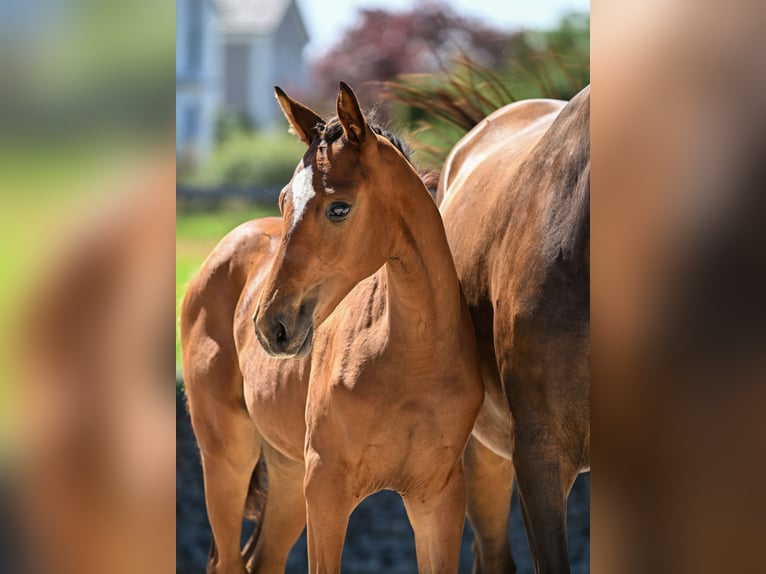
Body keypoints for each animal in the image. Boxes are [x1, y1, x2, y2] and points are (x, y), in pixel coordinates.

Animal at [180, 81, 484, 574]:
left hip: (286, 473)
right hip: (227, 456)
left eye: (339, 208)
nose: (270, 325)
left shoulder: (438, 499)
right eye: (284, 200)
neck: (412, 359)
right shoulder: (326, 489)